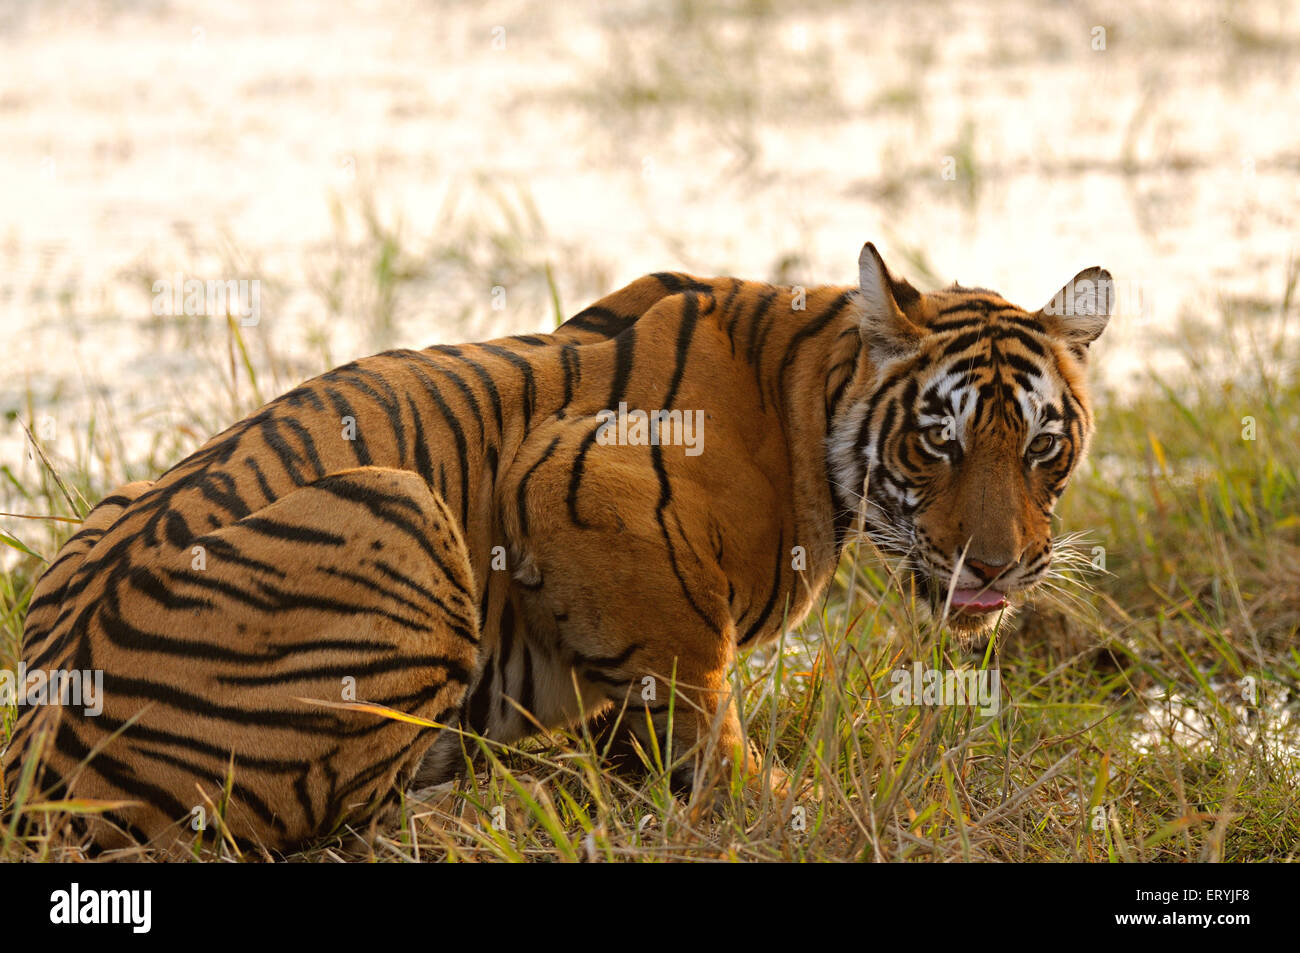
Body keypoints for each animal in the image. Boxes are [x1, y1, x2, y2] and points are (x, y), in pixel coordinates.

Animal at [1, 242, 1112, 852]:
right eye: (940, 440)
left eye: (1042, 445)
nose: (995, 567)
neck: (813, 391)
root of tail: (36, 763)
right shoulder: (573, 477)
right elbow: (700, 699)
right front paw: (785, 805)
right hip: (399, 504)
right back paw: (486, 802)